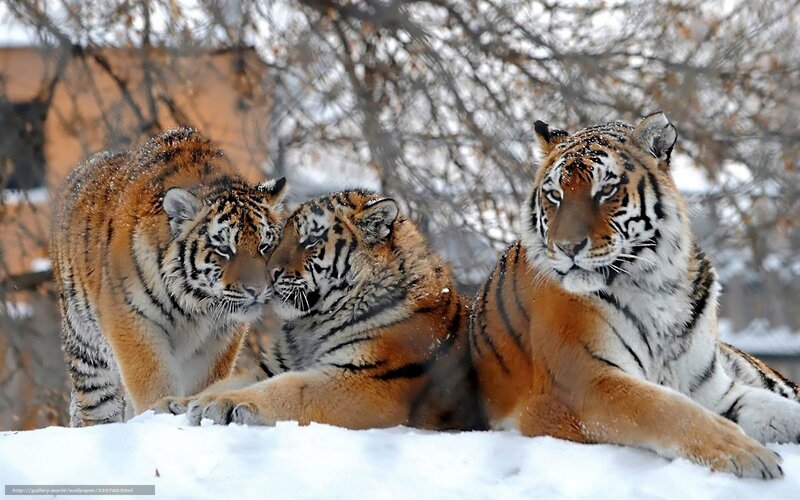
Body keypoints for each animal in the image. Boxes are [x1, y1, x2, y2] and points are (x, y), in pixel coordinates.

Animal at [49, 127, 287, 426]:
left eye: (265, 246)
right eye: (224, 249)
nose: (257, 289)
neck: (195, 303)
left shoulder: (221, 335)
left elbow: (205, 382)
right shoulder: (132, 319)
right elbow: (152, 380)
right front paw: (158, 414)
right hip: (88, 351)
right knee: (97, 407)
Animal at [170, 190, 484, 431]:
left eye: (310, 240)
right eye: (279, 238)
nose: (269, 274)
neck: (310, 325)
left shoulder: (364, 380)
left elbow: (289, 390)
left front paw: (218, 404)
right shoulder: (272, 366)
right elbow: (224, 382)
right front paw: (178, 403)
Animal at [470, 112, 800, 479]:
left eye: (606, 190)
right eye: (554, 195)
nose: (567, 247)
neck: (657, 283)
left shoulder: (714, 391)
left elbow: (779, 410)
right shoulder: (585, 380)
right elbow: (668, 409)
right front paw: (748, 453)